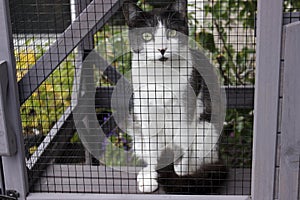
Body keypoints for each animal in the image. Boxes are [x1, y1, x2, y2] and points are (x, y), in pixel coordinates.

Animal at [122, 0, 227, 194]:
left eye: (171, 32)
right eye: (147, 36)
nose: (162, 49)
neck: (162, 75)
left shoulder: (186, 112)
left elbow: (181, 147)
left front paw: (179, 176)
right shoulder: (146, 111)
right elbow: (153, 149)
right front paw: (150, 178)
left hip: (206, 130)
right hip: (137, 133)